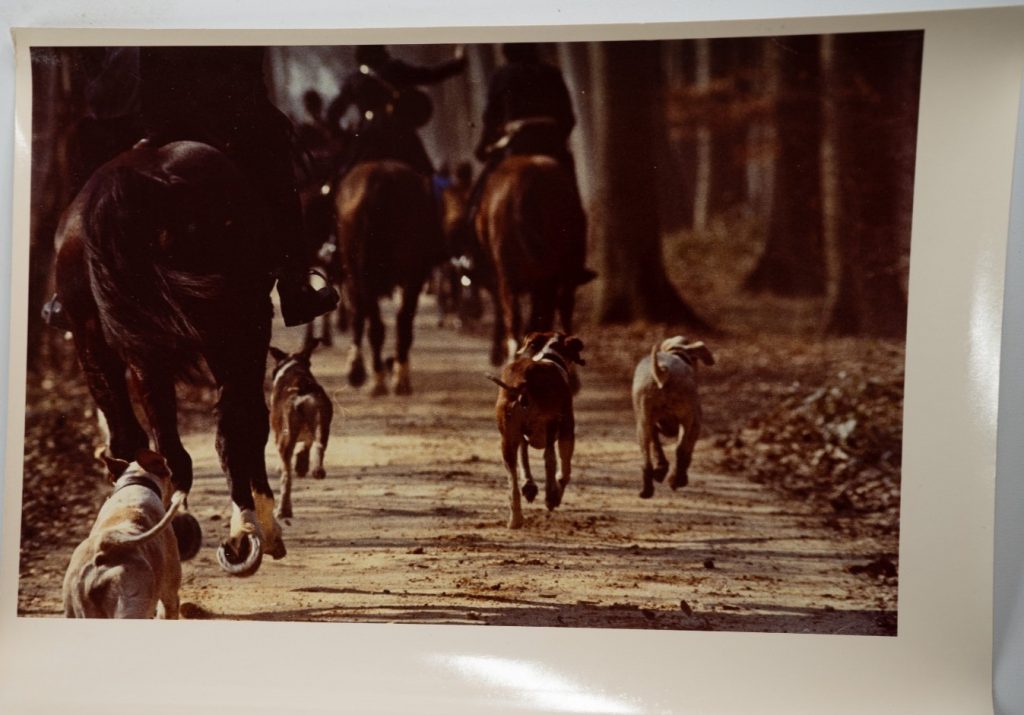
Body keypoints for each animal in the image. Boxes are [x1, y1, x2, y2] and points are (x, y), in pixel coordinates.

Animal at [53, 139, 285, 577]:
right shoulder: (248, 330)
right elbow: (250, 425)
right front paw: (261, 526)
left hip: (100, 342)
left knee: (140, 438)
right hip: (232, 330)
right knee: (228, 429)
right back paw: (240, 531)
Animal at [335, 160, 444, 396]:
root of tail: (381, 181)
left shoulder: (354, 276)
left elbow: (358, 316)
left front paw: (356, 369)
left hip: (367, 274)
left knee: (377, 325)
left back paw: (380, 379)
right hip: (410, 274)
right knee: (401, 322)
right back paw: (398, 379)